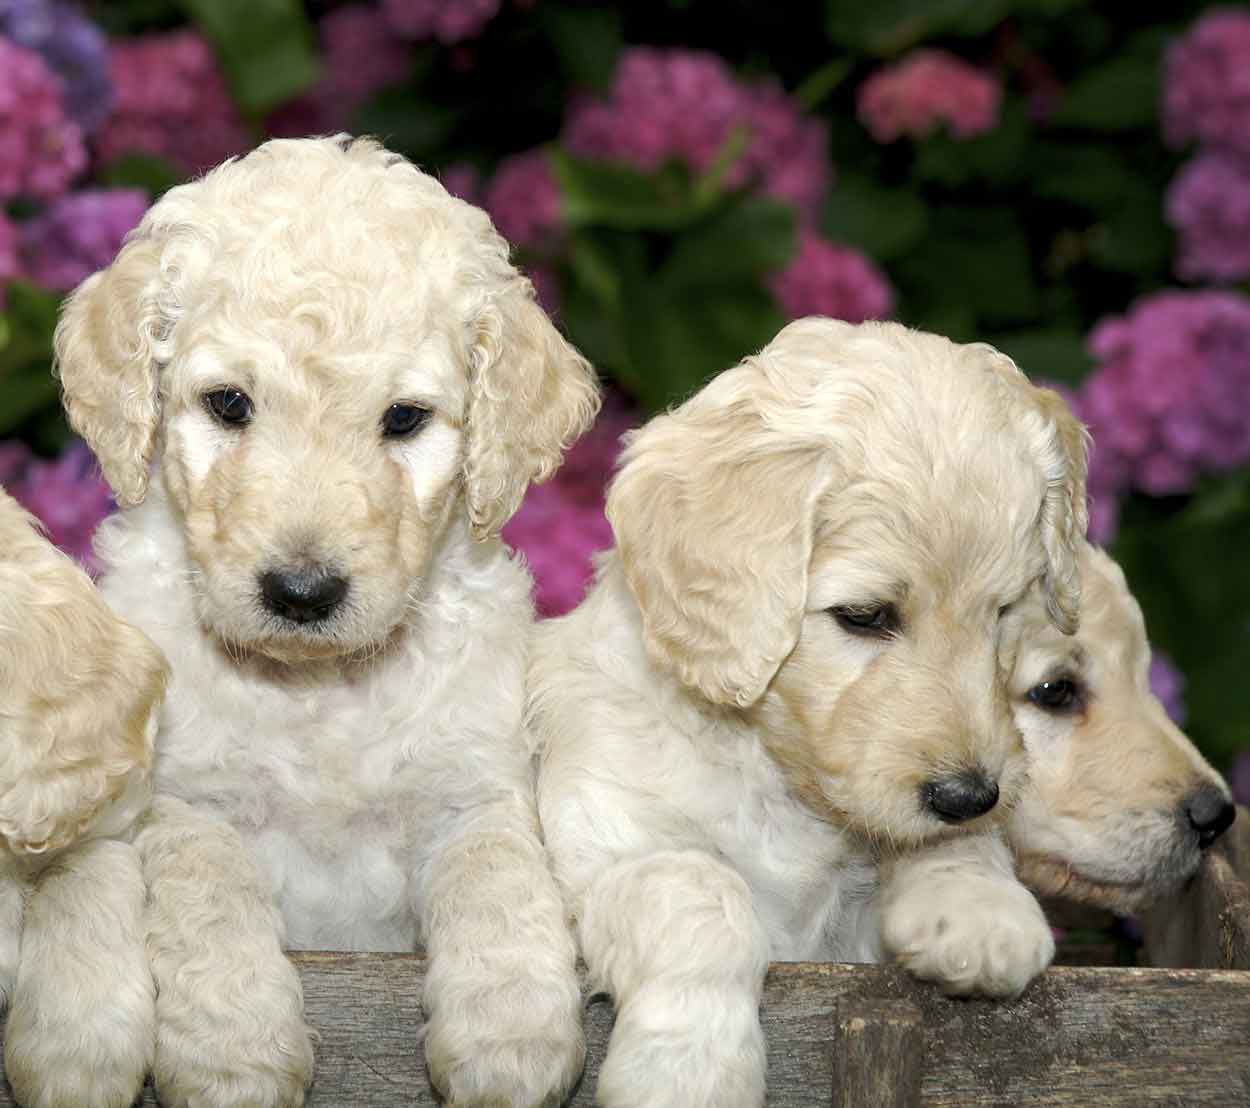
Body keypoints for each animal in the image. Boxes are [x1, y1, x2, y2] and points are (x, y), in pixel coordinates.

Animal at [57, 136, 600, 1108]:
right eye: (229, 404)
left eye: (405, 418)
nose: (302, 592)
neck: (317, 690)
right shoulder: (183, 799)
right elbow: (209, 894)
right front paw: (235, 1053)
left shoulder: (474, 786)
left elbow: (498, 877)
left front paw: (511, 1039)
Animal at [532, 318, 1090, 1108]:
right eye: (864, 616)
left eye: (1006, 611)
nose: (967, 797)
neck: (776, 776)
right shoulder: (611, 847)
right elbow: (701, 891)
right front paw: (689, 1067)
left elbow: (944, 846)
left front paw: (979, 908)